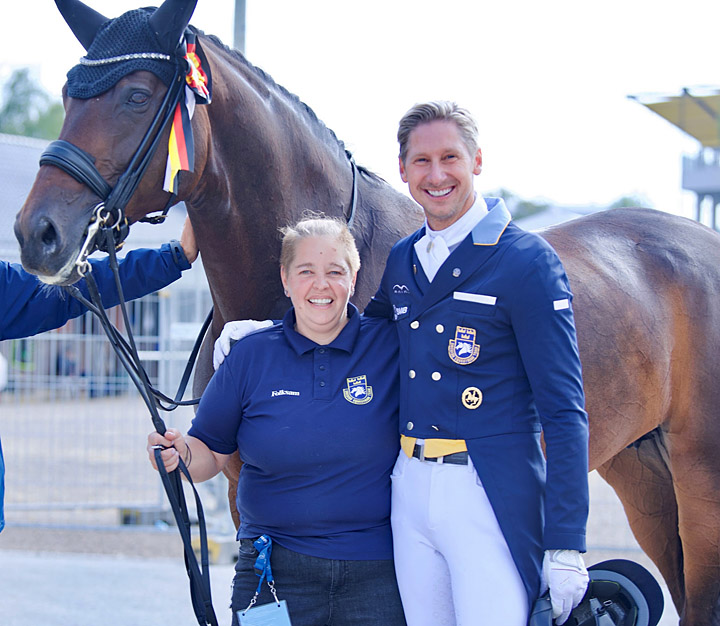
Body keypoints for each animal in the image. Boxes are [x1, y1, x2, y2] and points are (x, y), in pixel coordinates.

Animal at [9, 1, 720, 620]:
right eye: (69, 97)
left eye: (136, 95)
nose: (37, 234)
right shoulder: (246, 495)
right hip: (642, 474)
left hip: (699, 480)